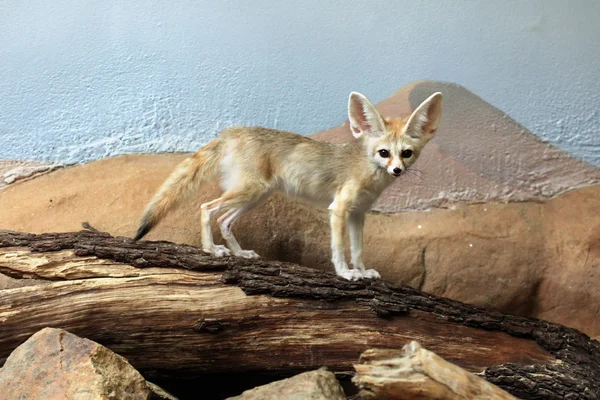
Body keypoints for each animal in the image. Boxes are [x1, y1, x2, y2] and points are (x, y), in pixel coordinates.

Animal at [135, 92, 440, 282]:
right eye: (383, 153)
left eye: (407, 153)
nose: (397, 170)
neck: (367, 170)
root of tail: (233, 131)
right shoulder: (339, 209)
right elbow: (340, 248)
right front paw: (345, 273)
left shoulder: (358, 214)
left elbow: (358, 250)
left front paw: (363, 271)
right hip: (249, 192)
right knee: (207, 208)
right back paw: (211, 250)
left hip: (255, 197)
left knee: (224, 220)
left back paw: (240, 253)